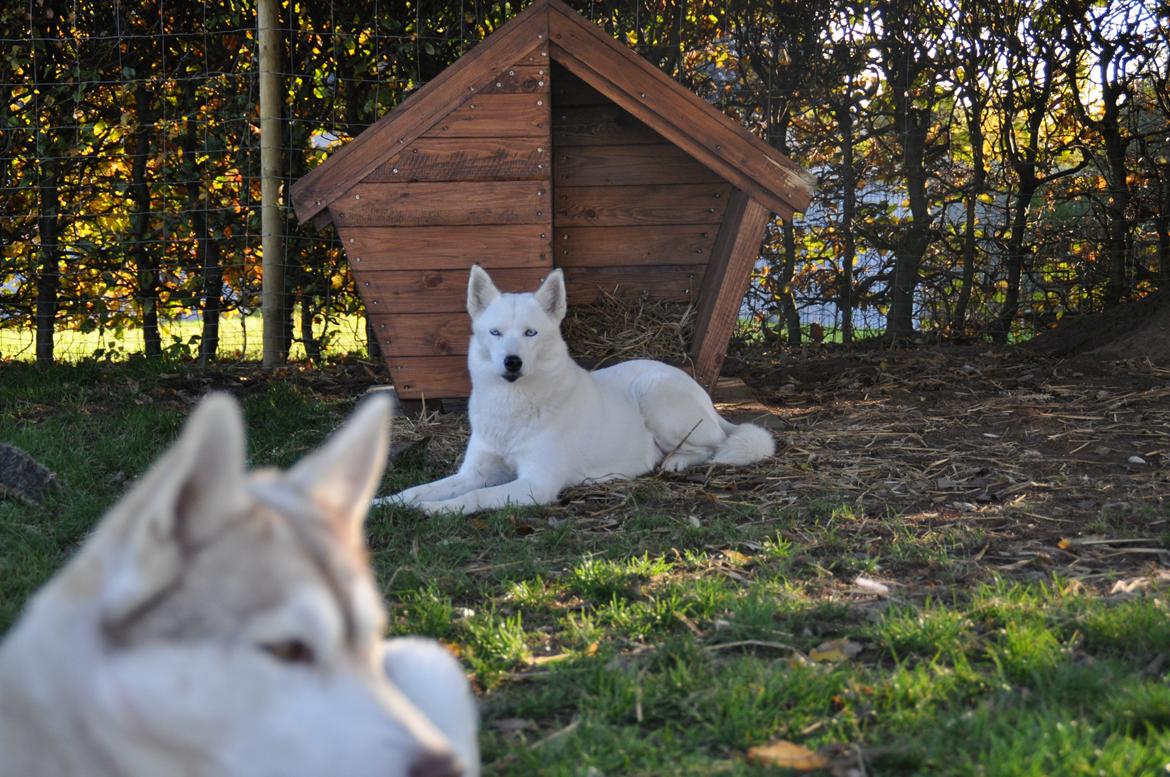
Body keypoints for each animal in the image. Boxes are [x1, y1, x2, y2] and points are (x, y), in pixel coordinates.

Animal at [379, 266, 772, 514]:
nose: (511, 362)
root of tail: (705, 397)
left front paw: (434, 510)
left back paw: (675, 460)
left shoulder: (535, 484)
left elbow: (474, 498)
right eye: (495, 332)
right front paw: (389, 503)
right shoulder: (474, 472)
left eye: (530, 333)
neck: (512, 404)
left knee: (714, 446)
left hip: (657, 397)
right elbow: (420, 488)